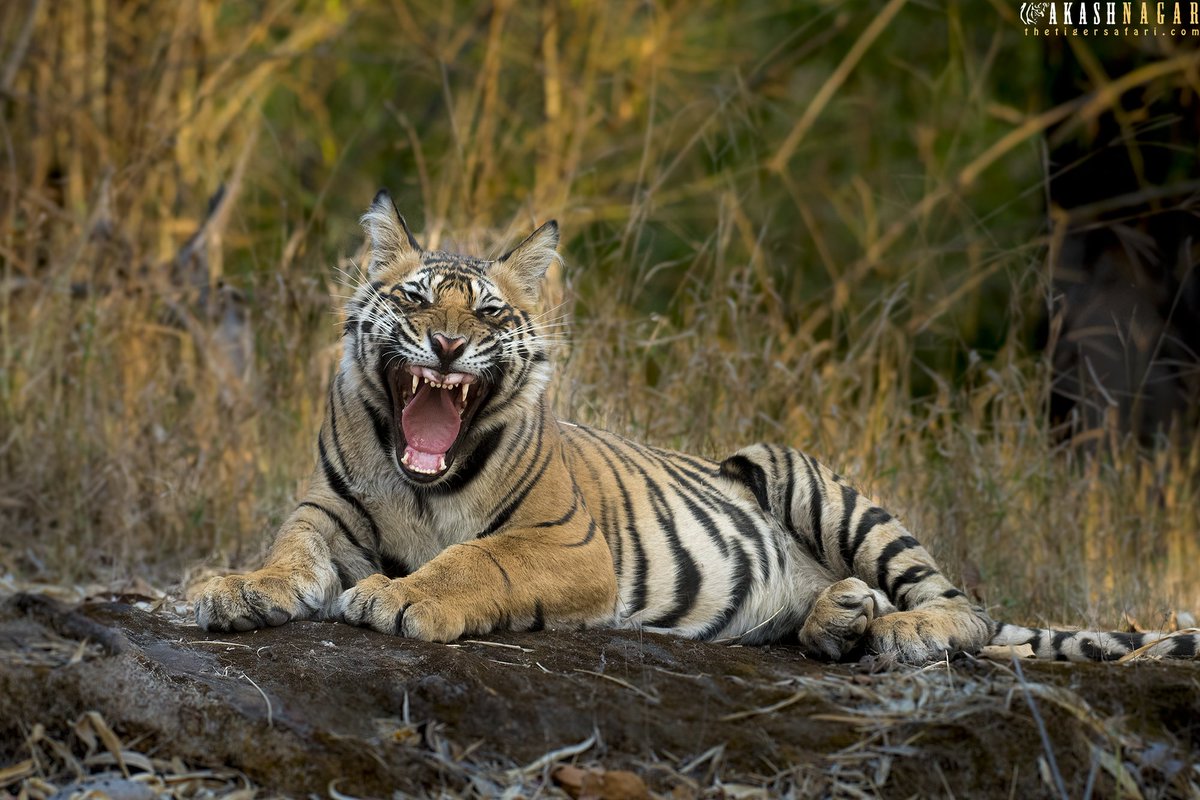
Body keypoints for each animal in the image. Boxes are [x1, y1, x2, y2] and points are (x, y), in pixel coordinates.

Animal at [194, 191, 1199, 664]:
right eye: (413, 300)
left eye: (485, 313)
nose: (445, 343)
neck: (422, 482)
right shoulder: (327, 514)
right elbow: (288, 554)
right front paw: (231, 587)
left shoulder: (566, 542)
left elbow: (478, 558)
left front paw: (402, 598)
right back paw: (840, 618)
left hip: (805, 476)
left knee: (964, 606)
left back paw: (899, 631)